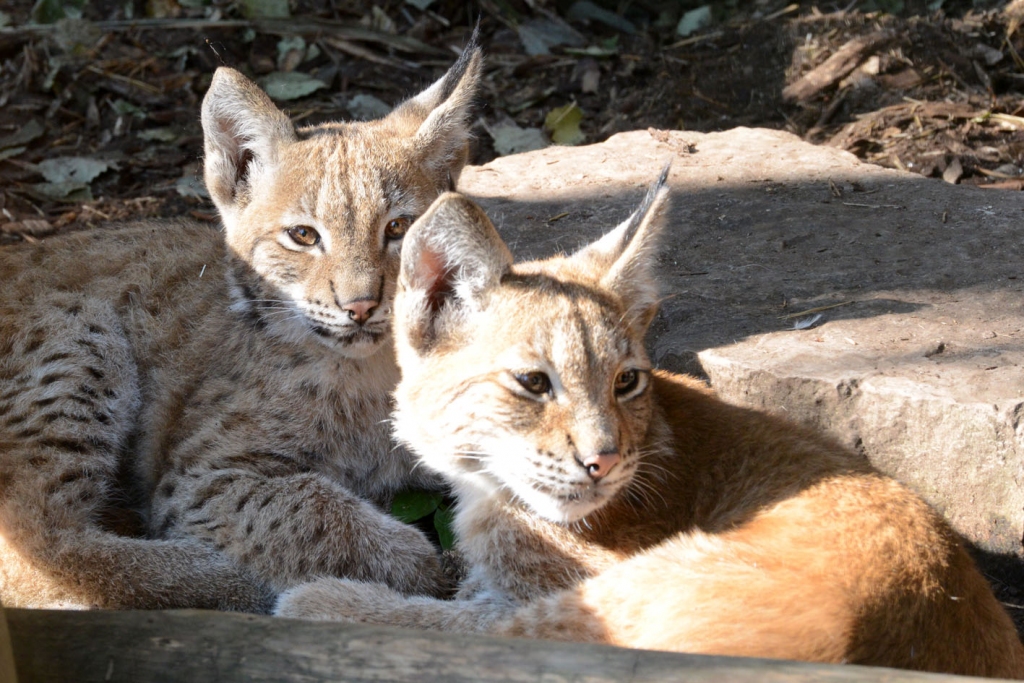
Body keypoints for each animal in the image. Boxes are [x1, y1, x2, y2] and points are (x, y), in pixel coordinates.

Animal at [0, 44, 481, 610]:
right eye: (303, 236)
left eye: (399, 228)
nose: (360, 306)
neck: (374, 367)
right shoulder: (202, 480)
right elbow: (316, 510)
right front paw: (423, 568)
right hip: (80, 326)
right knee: (35, 543)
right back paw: (222, 584)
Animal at [278, 172, 1024, 679]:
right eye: (533, 384)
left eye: (625, 381)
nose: (604, 462)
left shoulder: (560, 594)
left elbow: (473, 622)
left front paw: (333, 601)